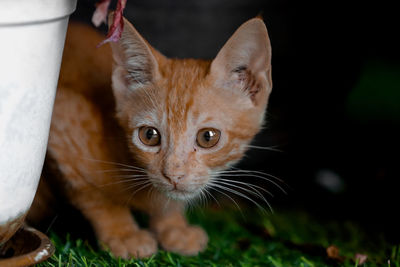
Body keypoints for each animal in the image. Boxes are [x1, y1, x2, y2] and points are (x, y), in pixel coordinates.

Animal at [28, 16, 272, 260]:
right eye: (149, 135)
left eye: (208, 137)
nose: (174, 175)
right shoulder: (59, 117)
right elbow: (95, 197)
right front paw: (123, 233)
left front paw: (173, 226)